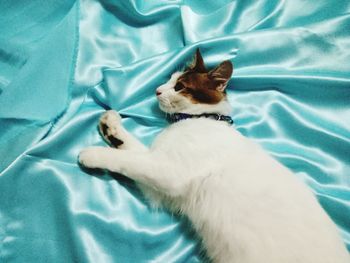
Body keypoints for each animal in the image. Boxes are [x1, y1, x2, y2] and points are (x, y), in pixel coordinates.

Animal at [79, 50, 350, 263]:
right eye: (169, 80)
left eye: (179, 86)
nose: (156, 90)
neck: (199, 120)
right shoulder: (159, 183)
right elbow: (133, 150)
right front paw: (111, 126)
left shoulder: (169, 174)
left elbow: (128, 161)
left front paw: (92, 154)